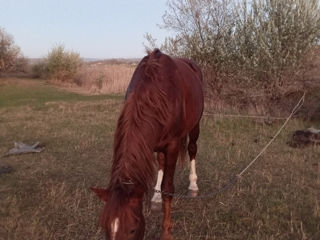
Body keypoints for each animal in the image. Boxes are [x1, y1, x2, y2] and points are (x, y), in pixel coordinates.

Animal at [91, 49, 204, 240]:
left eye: (133, 229)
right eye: (105, 227)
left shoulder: (172, 145)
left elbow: (168, 188)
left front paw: (166, 233)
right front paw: (157, 196)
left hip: (195, 124)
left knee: (192, 149)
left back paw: (193, 186)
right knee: (161, 161)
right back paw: (156, 197)